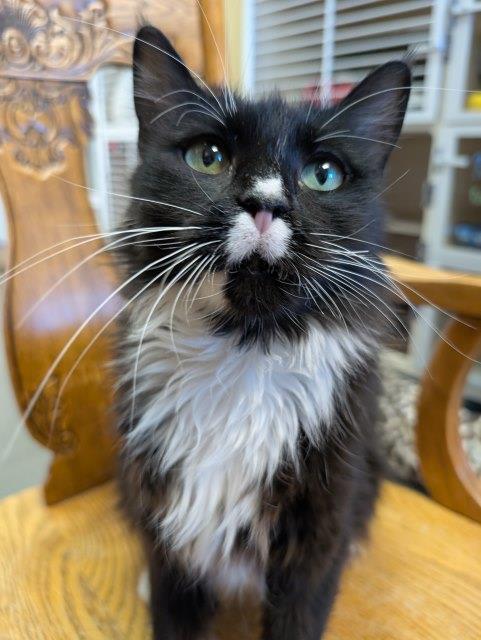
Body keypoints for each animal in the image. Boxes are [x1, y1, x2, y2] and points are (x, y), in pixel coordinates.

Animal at [115, 26, 408, 640]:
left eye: (324, 173)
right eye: (208, 157)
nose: (265, 202)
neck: (244, 353)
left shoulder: (322, 519)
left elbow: (302, 607)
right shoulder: (163, 514)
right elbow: (170, 607)